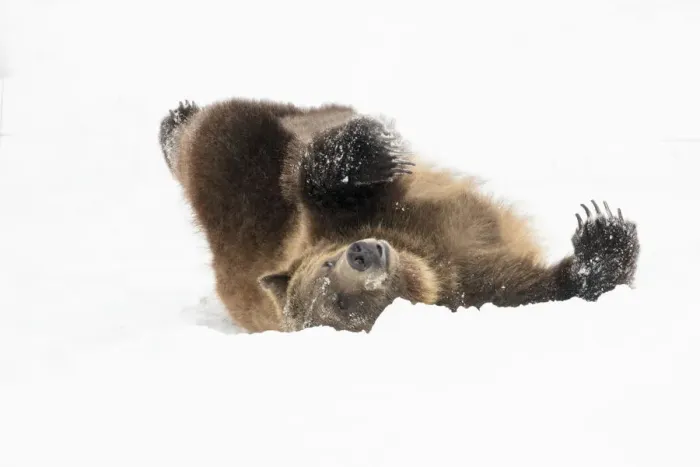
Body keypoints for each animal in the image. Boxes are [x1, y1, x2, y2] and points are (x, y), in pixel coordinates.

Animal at [158, 97, 640, 333]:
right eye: (342, 305)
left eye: (327, 263)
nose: (361, 254)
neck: (421, 255)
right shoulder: (476, 286)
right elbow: (548, 287)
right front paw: (603, 236)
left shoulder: (338, 221)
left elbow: (327, 188)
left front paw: (366, 153)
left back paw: (176, 119)